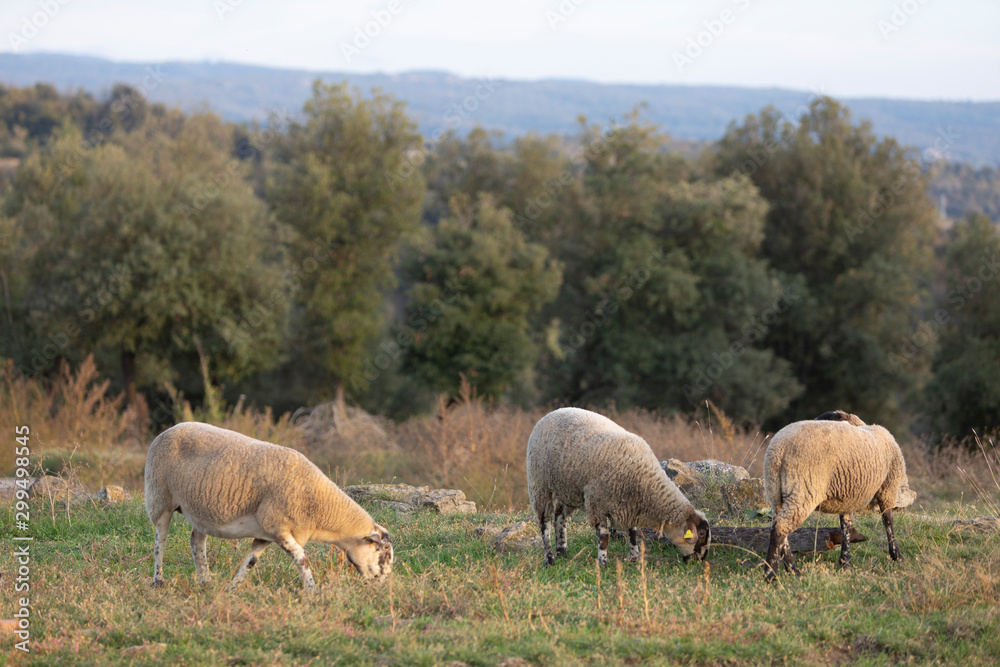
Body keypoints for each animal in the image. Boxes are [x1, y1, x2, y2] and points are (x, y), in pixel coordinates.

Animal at [145, 422, 394, 588]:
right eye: (383, 553)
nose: (383, 584)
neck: (320, 509)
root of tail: (169, 429)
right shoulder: (278, 525)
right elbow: (302, 559)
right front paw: (312, 590)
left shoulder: (265, 534)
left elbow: (250, 561)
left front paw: (234, 587)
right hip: (159, 496)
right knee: (160, 541)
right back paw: (159, 580)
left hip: (200, 509)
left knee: (197, 542)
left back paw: (205, 581)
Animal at [524, 408, 712, 568]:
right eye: (701, 535)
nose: (701, 560)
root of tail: (551, 412)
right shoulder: (597, 503)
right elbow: (604, 537)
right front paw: (603, 564)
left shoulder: (631, 506)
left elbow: (633, 534)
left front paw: (634, 558)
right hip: (539, 484)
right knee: (545, 522)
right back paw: (550, 559)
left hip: (568, 489)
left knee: (560, 517)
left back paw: (562, 551)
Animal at [760, 418, 912, 580]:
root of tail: (779, 449)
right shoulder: (888, 487)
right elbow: (888, 520)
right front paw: (896, 556)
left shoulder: (847, 499)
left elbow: (846, 527)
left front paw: (845, 562)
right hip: (802, 491)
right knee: (780, 527)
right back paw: (770, 574)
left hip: (775, 494)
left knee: (779, 529)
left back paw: (794, 571)